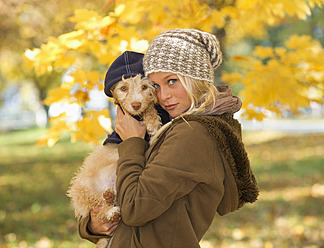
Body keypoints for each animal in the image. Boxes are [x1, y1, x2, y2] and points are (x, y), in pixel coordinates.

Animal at [67, 74, 162, 248]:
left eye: (144, 86)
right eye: (123, 88)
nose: (136, 105)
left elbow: (150, 107)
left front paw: (152, 120)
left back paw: (110, 198)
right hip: (84, 191)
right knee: (99, 209)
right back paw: (110, 208)